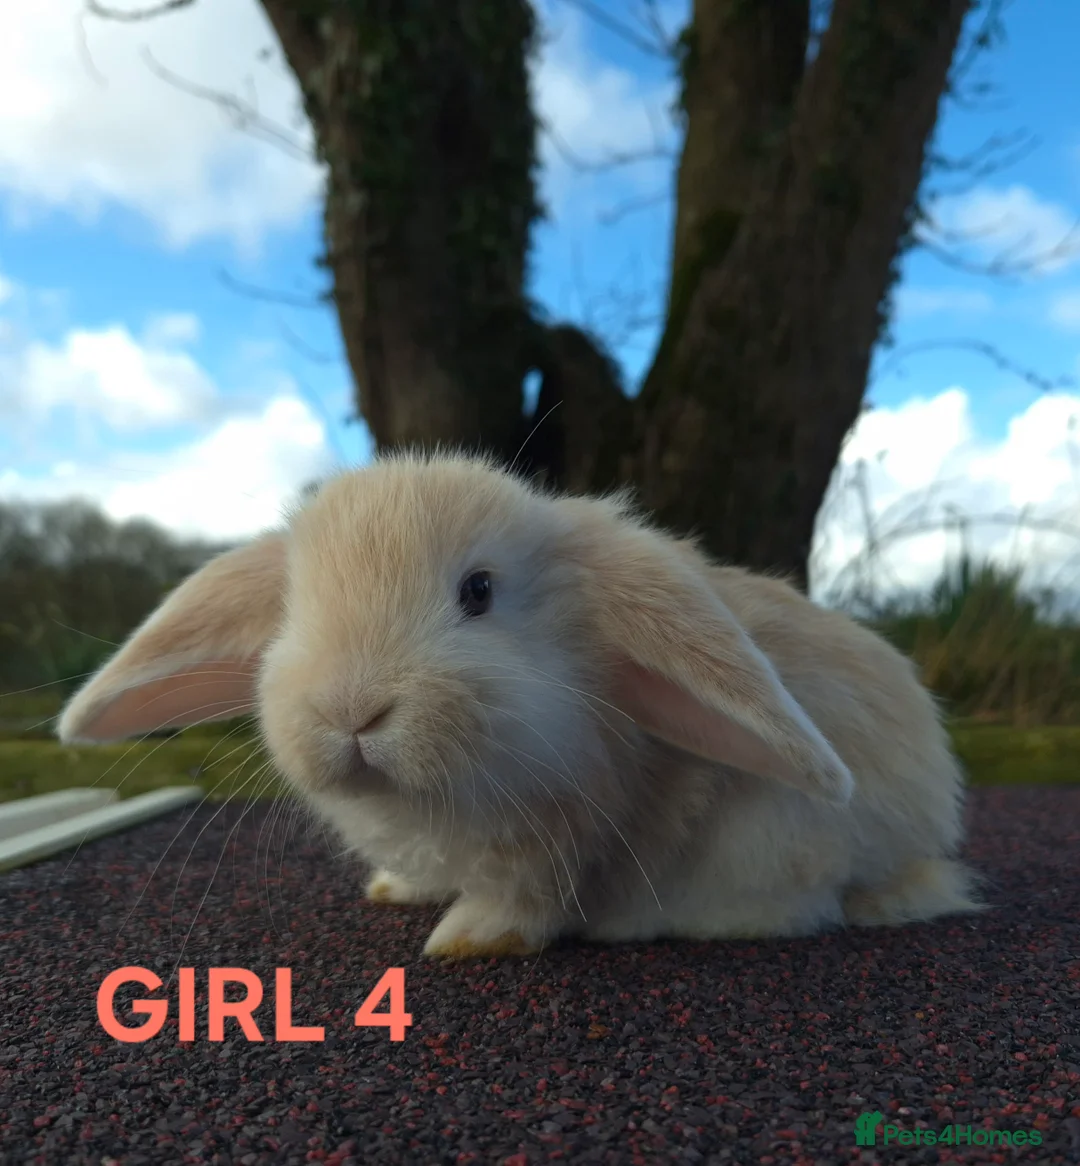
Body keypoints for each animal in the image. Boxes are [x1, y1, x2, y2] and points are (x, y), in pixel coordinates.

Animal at [57, 451, 983, 959]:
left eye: (478, 591)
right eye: (290, 606)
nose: (351, 712)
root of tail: (924, 841)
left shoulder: (560, 834)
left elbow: (522, 901)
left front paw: (464, 940)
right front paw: (395, 890)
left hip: (774, 837)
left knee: (800, 907)